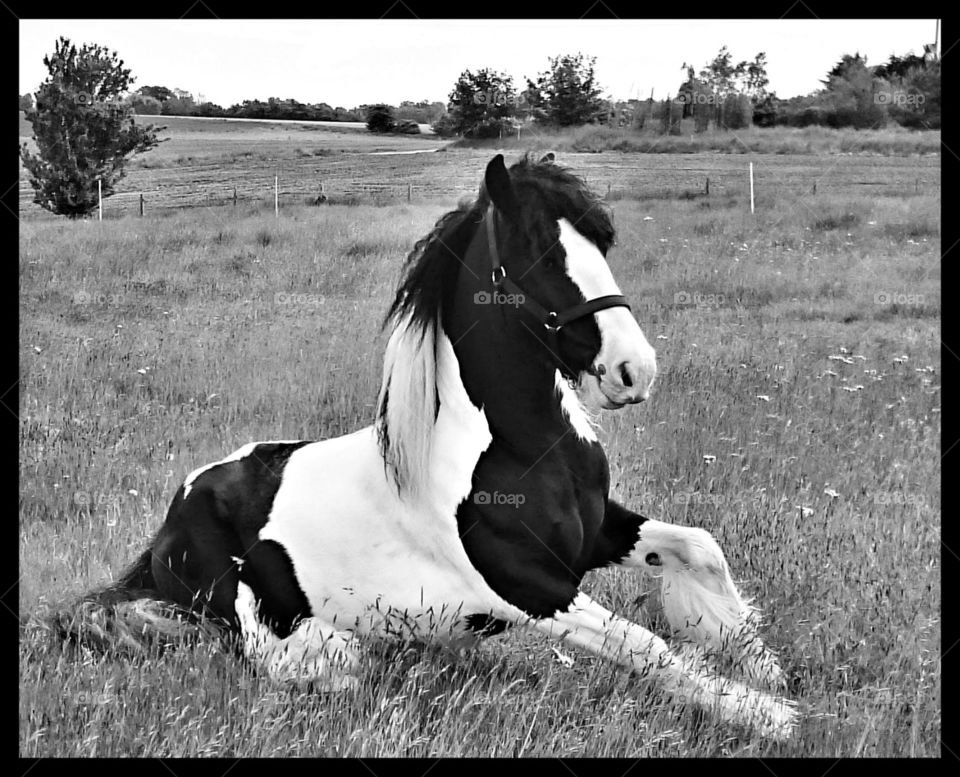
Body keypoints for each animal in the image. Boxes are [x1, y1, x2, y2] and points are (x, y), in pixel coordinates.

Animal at [58, 153, 796, 740]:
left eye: (602, 240)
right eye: (536, 251)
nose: (632, 370)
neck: (515, 450)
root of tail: (174, 514)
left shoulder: (598, 533)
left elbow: (699, 548)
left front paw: (765, 668)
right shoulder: (529, 589)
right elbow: (646, 646)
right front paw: (769, 716)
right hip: (252, 610)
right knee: (301, 657)